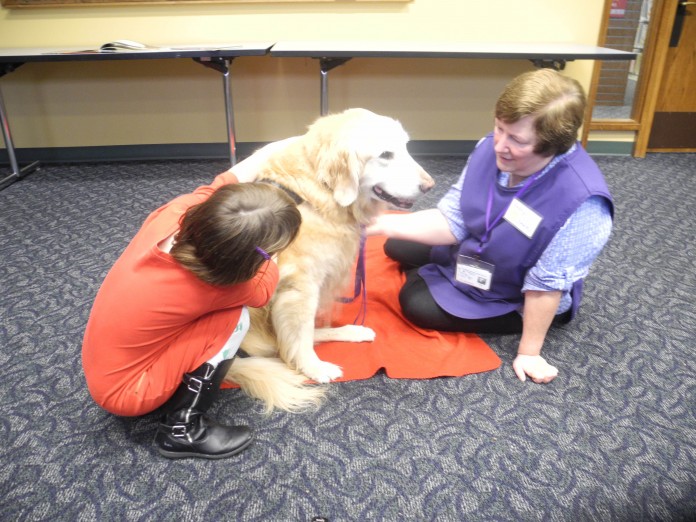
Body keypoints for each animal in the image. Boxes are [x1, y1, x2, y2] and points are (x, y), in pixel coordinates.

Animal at [226, 108, 436, 410]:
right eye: (386, 154)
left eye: (405, 146)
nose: (430, 185)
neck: (315, 192)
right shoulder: (300, 288)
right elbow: (300, 337)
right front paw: (312, 367)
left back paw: (353, 331)